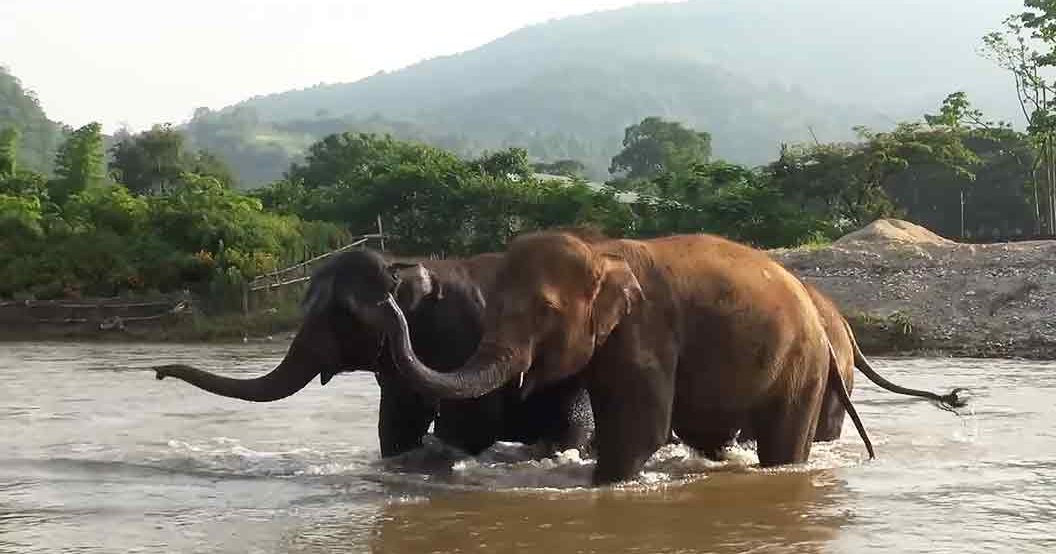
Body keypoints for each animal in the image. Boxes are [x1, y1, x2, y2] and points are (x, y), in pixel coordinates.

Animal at [153, 248, 593, 457]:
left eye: (342, 314)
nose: (156, 372)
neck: (408, 263)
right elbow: (396, 424)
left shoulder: (465, 339)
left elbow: (469, 427)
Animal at [363, 230, 874, 485]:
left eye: (544, 312)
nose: (387, 293)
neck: (600, 252)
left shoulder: (648, 329)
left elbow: (640, 429)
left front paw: (603, 486)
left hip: (802, 366)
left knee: (782, 444)